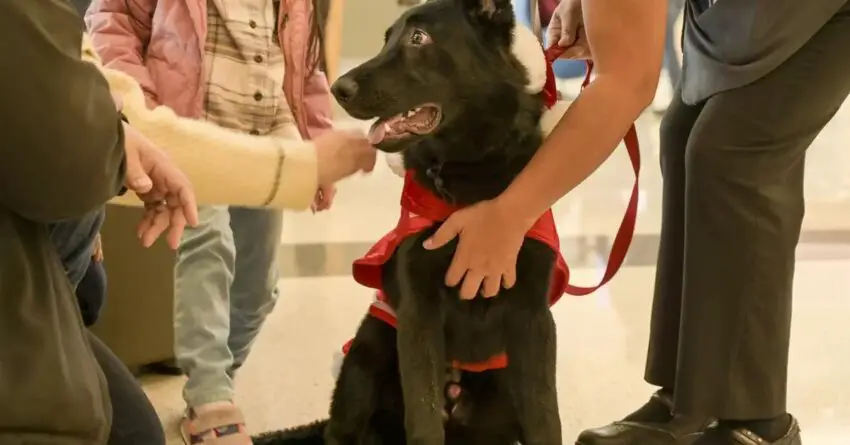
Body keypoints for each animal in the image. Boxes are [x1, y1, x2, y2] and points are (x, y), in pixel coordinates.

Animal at [255, 0, 568, 442]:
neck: (468, 180)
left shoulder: (533, 319)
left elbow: (545, 419)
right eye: (387, 38)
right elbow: (423, 417)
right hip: (368, 350)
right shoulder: (418, 317)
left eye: (418, 38)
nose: (338, 89)